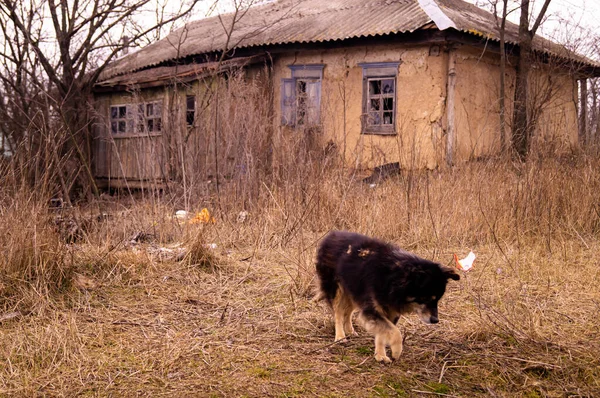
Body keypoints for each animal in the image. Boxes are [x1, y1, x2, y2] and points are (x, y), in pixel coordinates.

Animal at [314, 230, 460, 364]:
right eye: (426, 298)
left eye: (437, 300)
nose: (435, 320)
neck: (392, 278)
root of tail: (331, 235)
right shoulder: (373, 308)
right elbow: (394, 332)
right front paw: (396, 350)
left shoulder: (390, 309)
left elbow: (383, 333)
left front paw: (380, 355)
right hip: (337, 289)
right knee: (338, 312)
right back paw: (340, 336)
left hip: (353, 289)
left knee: (348, 312)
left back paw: (350, 330)